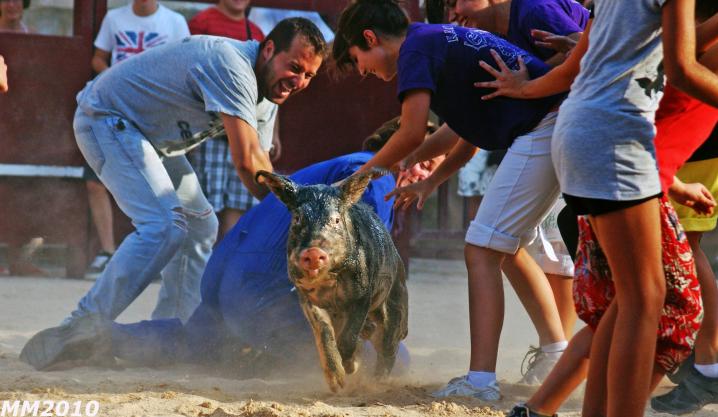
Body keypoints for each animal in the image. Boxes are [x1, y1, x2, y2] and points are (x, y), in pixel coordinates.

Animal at [255, 169, 409, 392]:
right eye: (298, 218)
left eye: (336, 220)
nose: (313, 251)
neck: (330, 281)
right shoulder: (306, 297)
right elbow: (324, 332)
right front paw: (337, 384)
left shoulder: (362, 295)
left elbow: (348, 336)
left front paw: (351, 367)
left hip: (394, 306)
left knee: (389, 347)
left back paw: (376, 383)